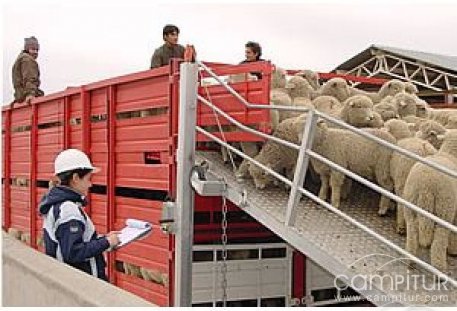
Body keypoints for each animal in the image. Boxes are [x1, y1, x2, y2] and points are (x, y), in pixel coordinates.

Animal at [400, 130, 456, 272]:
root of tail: (426, 186)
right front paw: (453, 250)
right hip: (444, 210)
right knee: (439, 241)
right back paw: (439, 269)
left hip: (410, 203)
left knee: (412, 233)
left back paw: (411, 260)